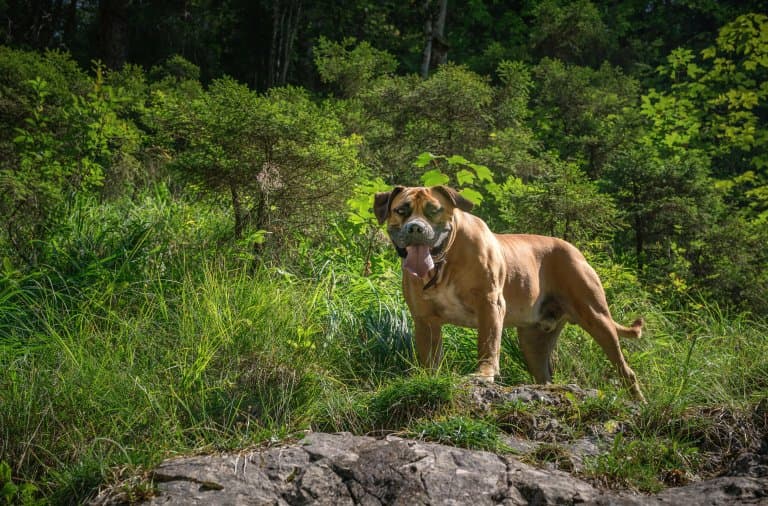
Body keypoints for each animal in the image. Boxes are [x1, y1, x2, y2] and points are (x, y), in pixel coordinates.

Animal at [376, 184, 644, 402]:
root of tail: (575, 250)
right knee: (544, 373)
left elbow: (488, 343)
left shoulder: (490, 305)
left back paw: (639, 401)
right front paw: (428, 378)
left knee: (626, 369)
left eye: (433, 210)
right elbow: (429, 356)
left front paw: (484, 374)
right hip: (533, 341)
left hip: (596, 317)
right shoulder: (425, 319)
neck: (444, 262)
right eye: (402, 210)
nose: (415, 228)